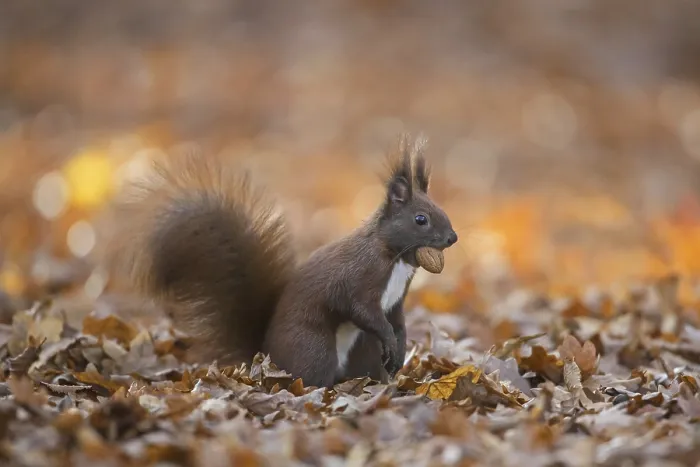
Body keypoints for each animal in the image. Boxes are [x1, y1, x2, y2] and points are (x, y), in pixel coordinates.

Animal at [105, 134, 458, 388]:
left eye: (441, 210)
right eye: (421, 219)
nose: (453, 238)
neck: (396, 258)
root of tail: (265, 355)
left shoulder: (395, 300)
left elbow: (397, 323)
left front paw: (399, 351)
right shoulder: (358, 280)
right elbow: (363, 312)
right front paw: (391, 342)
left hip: (361, 349)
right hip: (314, 347)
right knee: (312, 375)